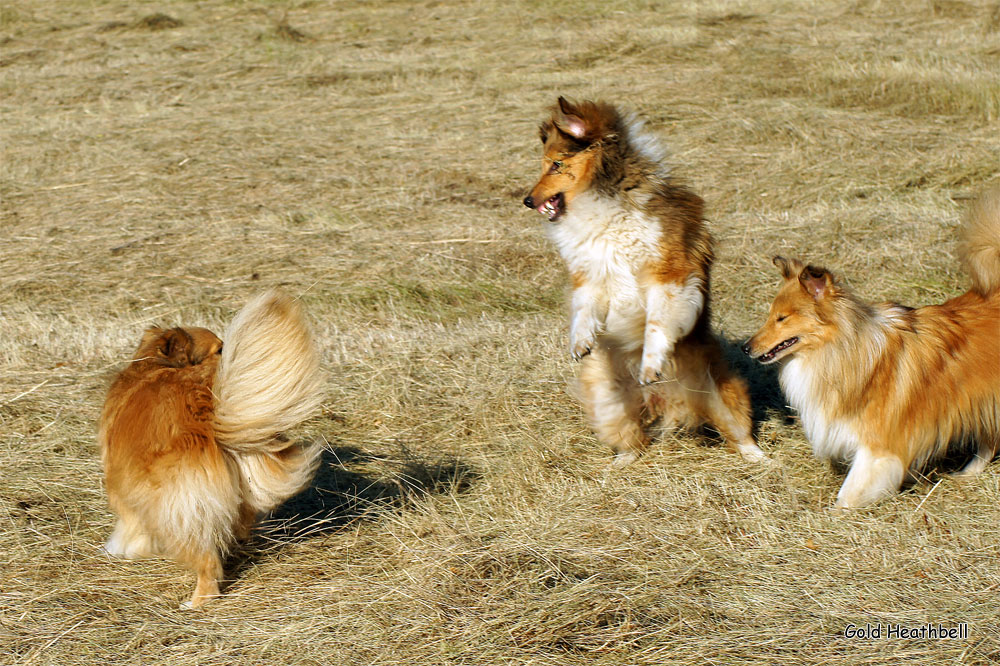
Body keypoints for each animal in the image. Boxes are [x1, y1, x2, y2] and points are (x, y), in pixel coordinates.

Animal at [99, 288, 322, 604]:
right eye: (219, 349)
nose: (228, 351)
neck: (154, 364)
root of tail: (208, 410)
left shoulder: (125, 486)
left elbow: (130, 522)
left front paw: (123, 548)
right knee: (240, 522)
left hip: (175, 504)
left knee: (205, 560)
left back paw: (198, 601)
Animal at [524, 96, 764, 464]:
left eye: (556, 164)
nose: (526, 200)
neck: (605, 201)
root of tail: (668, 403)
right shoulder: (591, 276)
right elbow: (584, 309)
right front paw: (580, 341)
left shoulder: (669, 276)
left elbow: (656, 323)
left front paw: (650, 365)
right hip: (607, 399)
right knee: (634, 438)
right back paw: (621, 462)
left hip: (721, 391)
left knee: (737, 430)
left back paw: (759, 457)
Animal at [748, 184, 1000, 506]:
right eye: (770, 315)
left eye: (781, 318)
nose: (745, 348)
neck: (843, 348)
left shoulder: (878, 450)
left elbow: (848, 494)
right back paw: (968, 473)